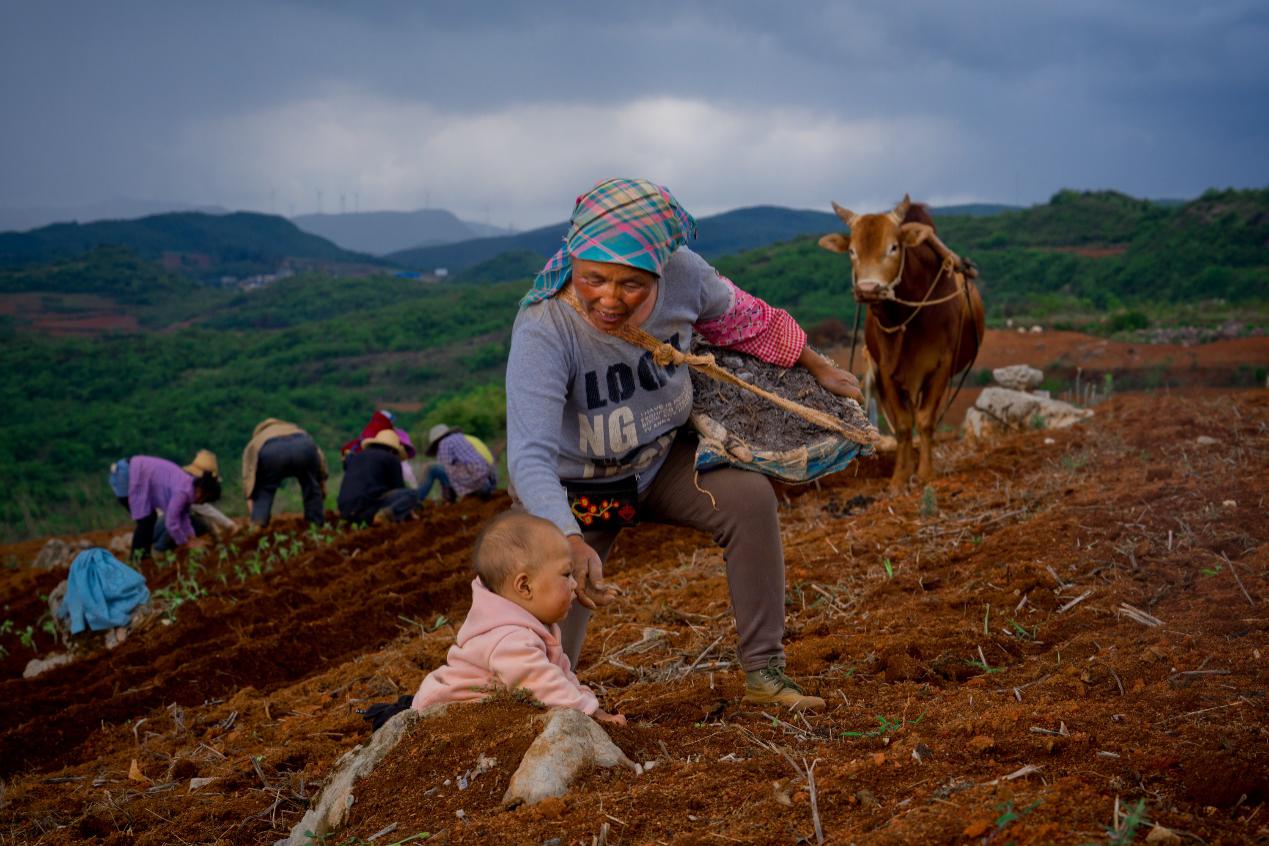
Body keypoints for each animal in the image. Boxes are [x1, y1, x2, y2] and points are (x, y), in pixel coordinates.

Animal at [817, 196, 984, 492]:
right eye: (852, 251)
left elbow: (926, 420)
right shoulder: (886, 372)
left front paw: (926, 473)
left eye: (893, 247)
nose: (868, 289)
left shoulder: (941, 368)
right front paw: (899, 478)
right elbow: (904, 425)